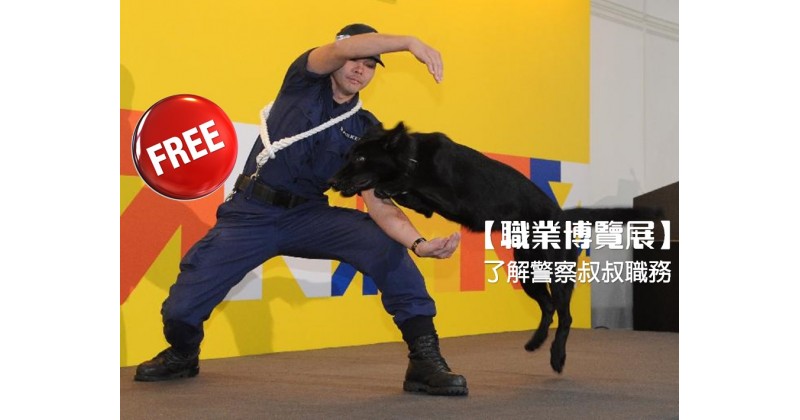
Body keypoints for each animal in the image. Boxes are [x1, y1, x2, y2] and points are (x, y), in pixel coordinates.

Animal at [329, 122, 661, 373]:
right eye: (348, 155)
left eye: (360, 159)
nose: (333, 180)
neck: (414, 158)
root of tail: (562, 216)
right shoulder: (427, 205)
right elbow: (408, 195)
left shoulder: (451, 197)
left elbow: (407, 184)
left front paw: (391, 184)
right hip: (527, 271)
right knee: (548, 307)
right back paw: (535, 343)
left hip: (558, 272)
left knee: (564, 315)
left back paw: (556, 356)